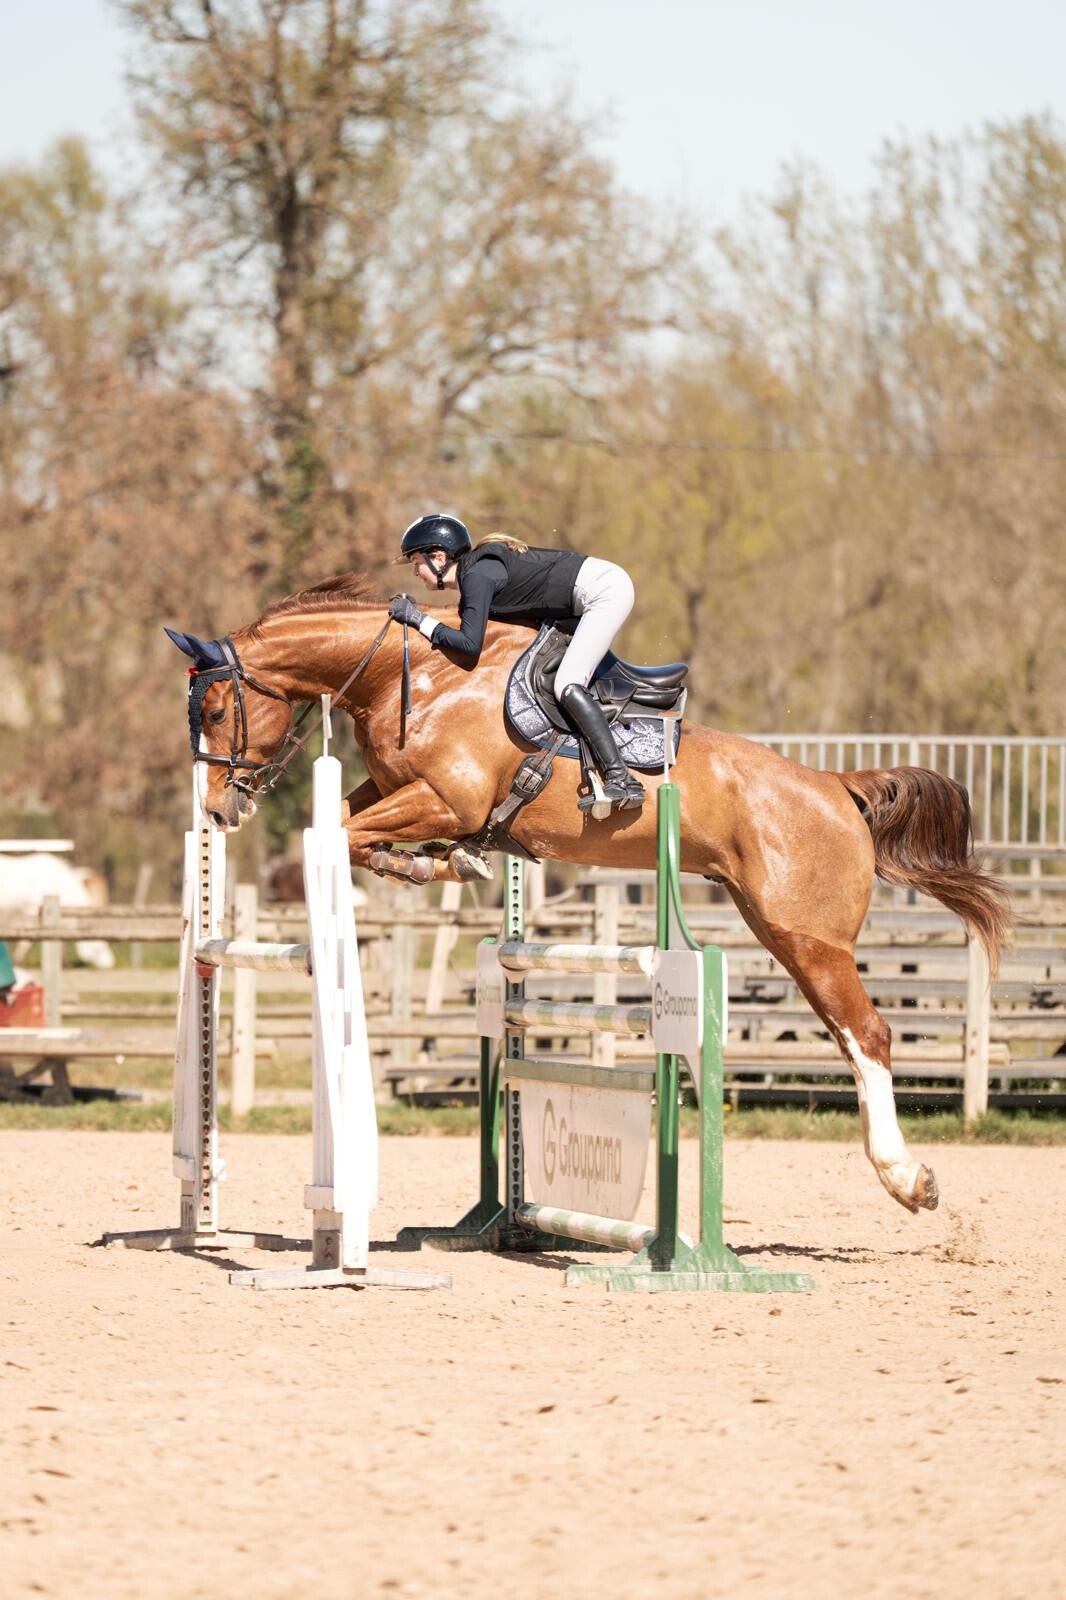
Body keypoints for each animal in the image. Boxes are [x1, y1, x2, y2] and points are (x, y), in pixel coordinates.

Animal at [167, 573, 1010, 1217]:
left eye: (216, 710)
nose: (217, 811)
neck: (412, 675)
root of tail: (837, 786)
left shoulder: (444, 798)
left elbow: (343, 833)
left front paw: (437, 865)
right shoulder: (403, 792)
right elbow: (347, 828)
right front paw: (439, 867)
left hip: (809, 938)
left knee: (867, 1036)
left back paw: (908, 1181)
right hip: (780, 930)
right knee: (849, 1036)